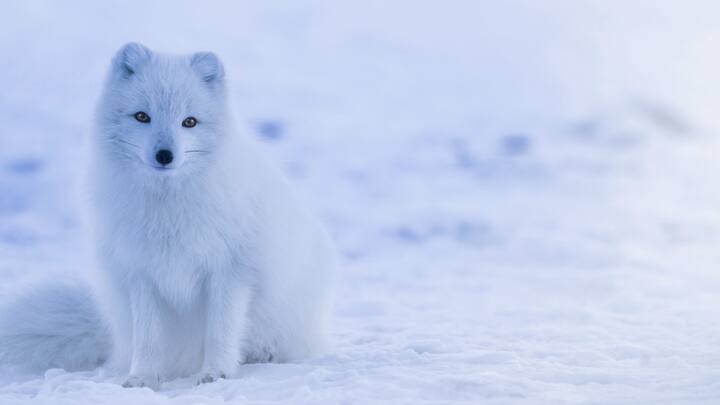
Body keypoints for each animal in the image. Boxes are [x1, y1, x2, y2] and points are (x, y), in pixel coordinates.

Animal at [0, 43, 335, 390]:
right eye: (142, 116)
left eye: (189, 122)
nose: (164, 155)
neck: (168, 208)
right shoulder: (141, 273)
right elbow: (148, 338)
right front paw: (143, 378)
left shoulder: (230, 271)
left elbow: (220, 331)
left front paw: (217, 373)